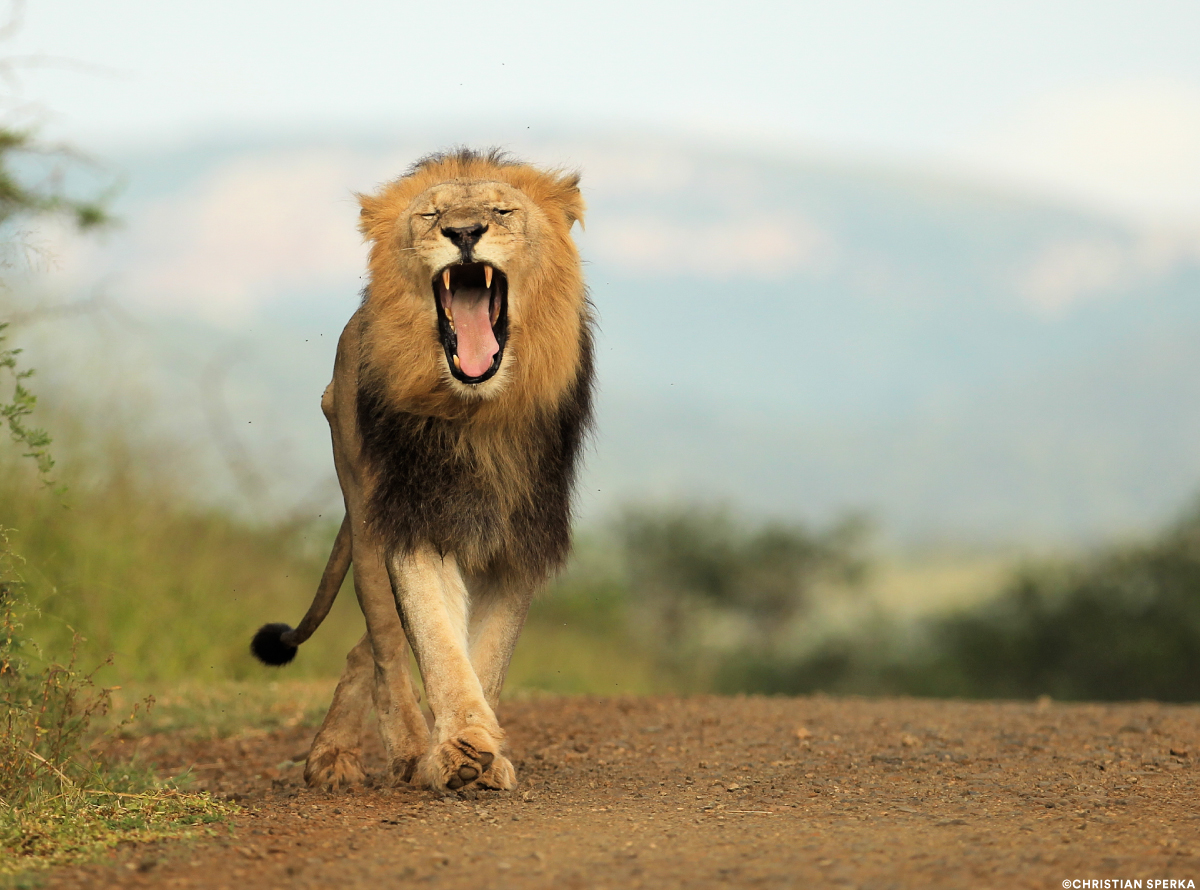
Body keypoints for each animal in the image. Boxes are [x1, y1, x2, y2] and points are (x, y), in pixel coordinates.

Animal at [249, 148, 595, 796]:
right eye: (432, 216)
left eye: (501, 211)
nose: (463, 233)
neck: (476, 414)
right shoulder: (415, 520)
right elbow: (435, 641)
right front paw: (457, 749)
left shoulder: (521, 536)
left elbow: (488, 655)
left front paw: (483, 753)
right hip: (364, 508)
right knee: (385, 642)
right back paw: (395, 751)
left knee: (365, 650)